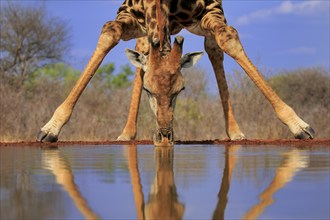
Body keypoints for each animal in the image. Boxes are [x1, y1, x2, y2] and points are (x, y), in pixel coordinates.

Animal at [36, 0, 314, 147]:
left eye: (182, 89)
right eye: (148, 89)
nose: (164, 136)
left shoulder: (212, 10)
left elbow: (228, 39)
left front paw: (299, 125)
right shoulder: (127, 14)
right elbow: (109, 33)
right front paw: (50, 128)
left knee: (213, 48)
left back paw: (235, 131)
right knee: (142, 49)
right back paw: (127, 133)